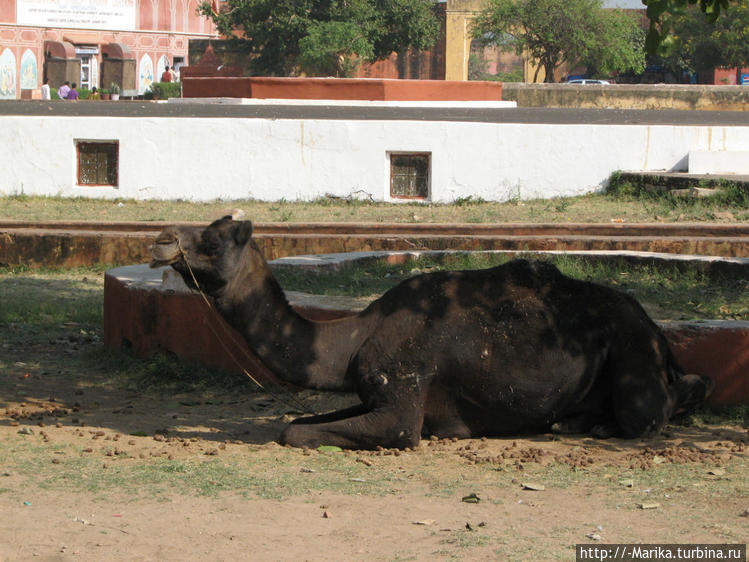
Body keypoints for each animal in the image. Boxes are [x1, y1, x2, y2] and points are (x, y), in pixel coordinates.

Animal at [150, 217, 712, 448]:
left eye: (215, 240)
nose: (160, 240)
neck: (353, 339)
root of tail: (656, 331)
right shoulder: (371, 390)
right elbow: (302, 418)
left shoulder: (402, 401)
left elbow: (295, 431)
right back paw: (577, 423)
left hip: (633, 350)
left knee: (653, 408)